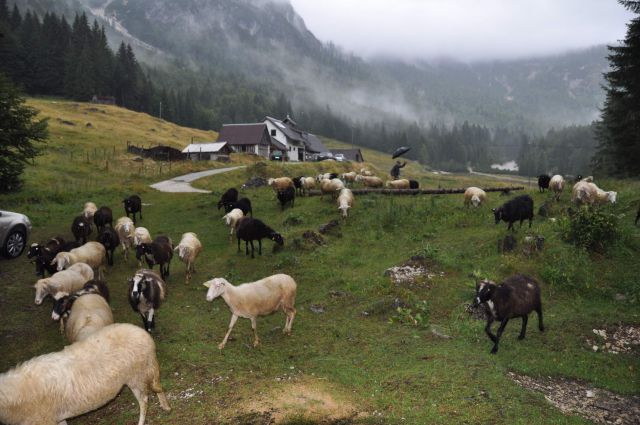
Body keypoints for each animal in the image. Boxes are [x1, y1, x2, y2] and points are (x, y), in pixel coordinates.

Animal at [0, 322, 171, 424]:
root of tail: (143, 334)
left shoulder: (43, 420)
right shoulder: (56, 417)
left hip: (137, 375)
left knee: (144, 400)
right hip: (143, 371)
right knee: (157, 387)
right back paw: (165, 406)